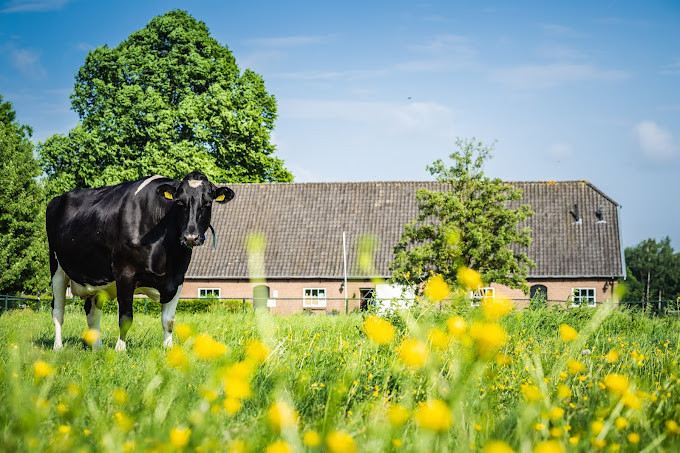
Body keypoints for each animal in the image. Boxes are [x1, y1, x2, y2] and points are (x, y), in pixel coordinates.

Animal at [47, 170, 234, 350]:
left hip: (94, 279)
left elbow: (169, 320)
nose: (190, 237)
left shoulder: (177, 279)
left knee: (92, 313)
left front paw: (169, 349)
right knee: (58, 311)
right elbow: (125, 317)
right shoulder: (124, 273)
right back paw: (58, 347)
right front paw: (120, 350)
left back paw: (97, 348)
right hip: (56, 268)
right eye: (180, 202)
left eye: (207, 203)